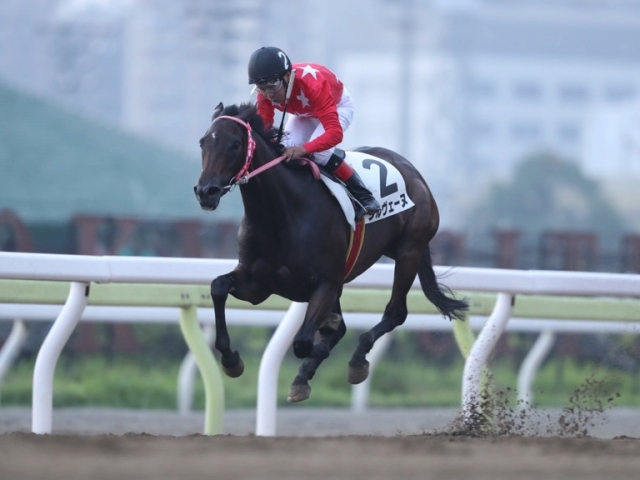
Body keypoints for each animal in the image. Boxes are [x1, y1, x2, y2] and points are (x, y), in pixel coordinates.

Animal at [192, 103, 468, 404]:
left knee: (395, 313)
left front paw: (319, 350)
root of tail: (412, 171)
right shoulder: (258, 284)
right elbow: (218, 287)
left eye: (235, 144)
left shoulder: (326, 283)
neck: (281, 215)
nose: (206, 192)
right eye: (203, 142)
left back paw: (356, 361)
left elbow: (303, 342)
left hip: (409, 252)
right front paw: (231, 360)